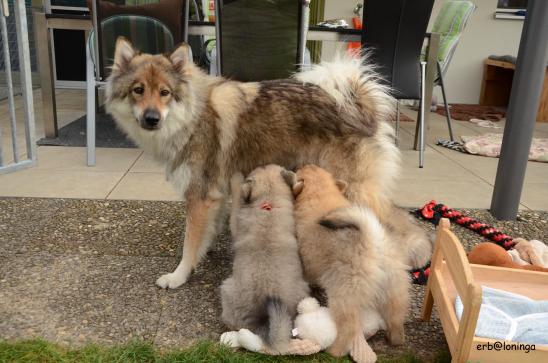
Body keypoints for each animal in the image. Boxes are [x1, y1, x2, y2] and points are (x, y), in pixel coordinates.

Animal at [106, 38, 432, 288]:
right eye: (138, 90)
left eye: (165, 92)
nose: (151, 118)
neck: (192, 115)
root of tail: (362, 107)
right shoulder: (217, 195)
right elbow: (206, 233)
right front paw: (203, 254)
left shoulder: (199, 196)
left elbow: (189, 243)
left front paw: (178, 276)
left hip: (355, 191)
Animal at [286, 166, 412, 358]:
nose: (295, 167)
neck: (320, 192)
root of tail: (373, 241)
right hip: (395, 289)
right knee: (396, 316)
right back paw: (395, 338)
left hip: (344, 294)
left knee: (349, 328)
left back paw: (334, 351)